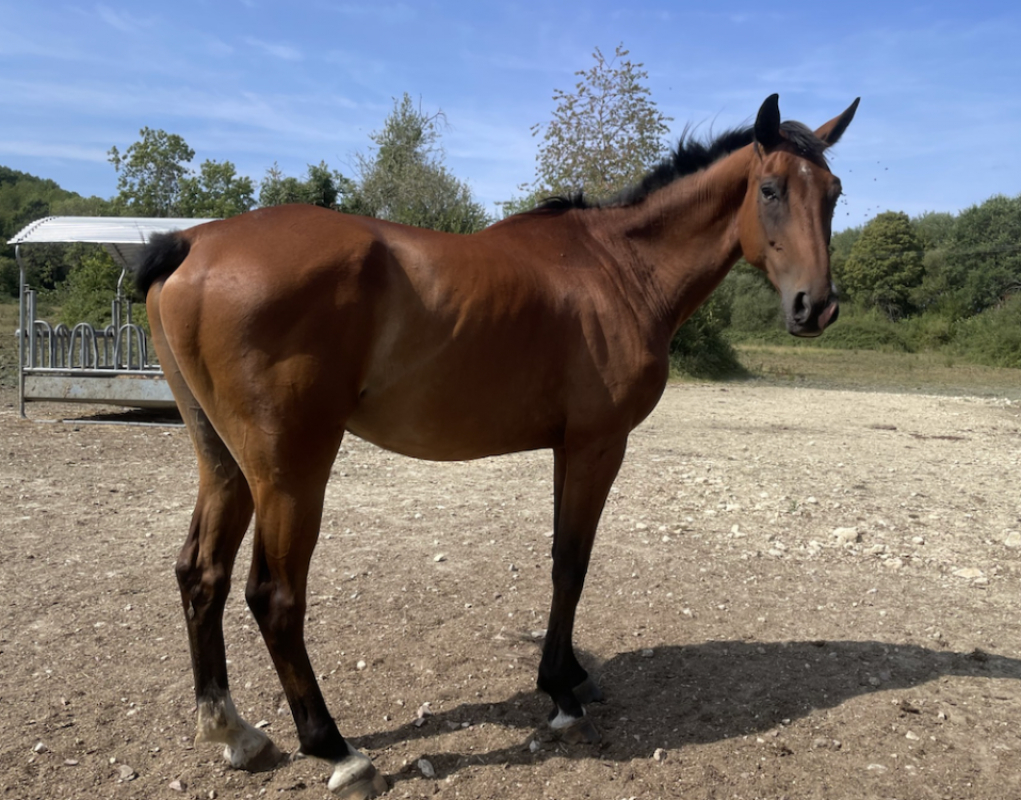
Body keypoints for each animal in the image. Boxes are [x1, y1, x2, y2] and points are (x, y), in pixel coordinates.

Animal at [136, 94, 858, 798]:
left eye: (832, 192)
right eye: (770, 189)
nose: (816, 307)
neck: (620, 267)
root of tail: (193, 243)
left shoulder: (567, 448)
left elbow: (565, 560)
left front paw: (571, 675)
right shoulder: (597, 446)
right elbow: (571, 563)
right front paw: (561, 692)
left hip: (225, 463)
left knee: (201, 574)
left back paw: (233, 731)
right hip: (290, 471)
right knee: (274, 596)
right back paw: (337, 750)